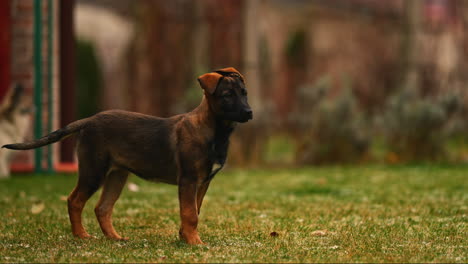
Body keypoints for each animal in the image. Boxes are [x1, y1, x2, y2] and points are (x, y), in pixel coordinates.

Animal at [2, 67, 252, 244]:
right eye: (227, 95)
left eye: (244, 93)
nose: (249, 113)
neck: (213, 130)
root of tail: (89, 120)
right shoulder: (189, 180)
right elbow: (190, 213)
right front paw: (194, 242)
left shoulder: (203, 182)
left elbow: (194, 212)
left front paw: (185, 237)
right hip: (93, 171)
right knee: (75, 200)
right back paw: (81, 235)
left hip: (117, 175)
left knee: (102, 208)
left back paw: (114, 238)